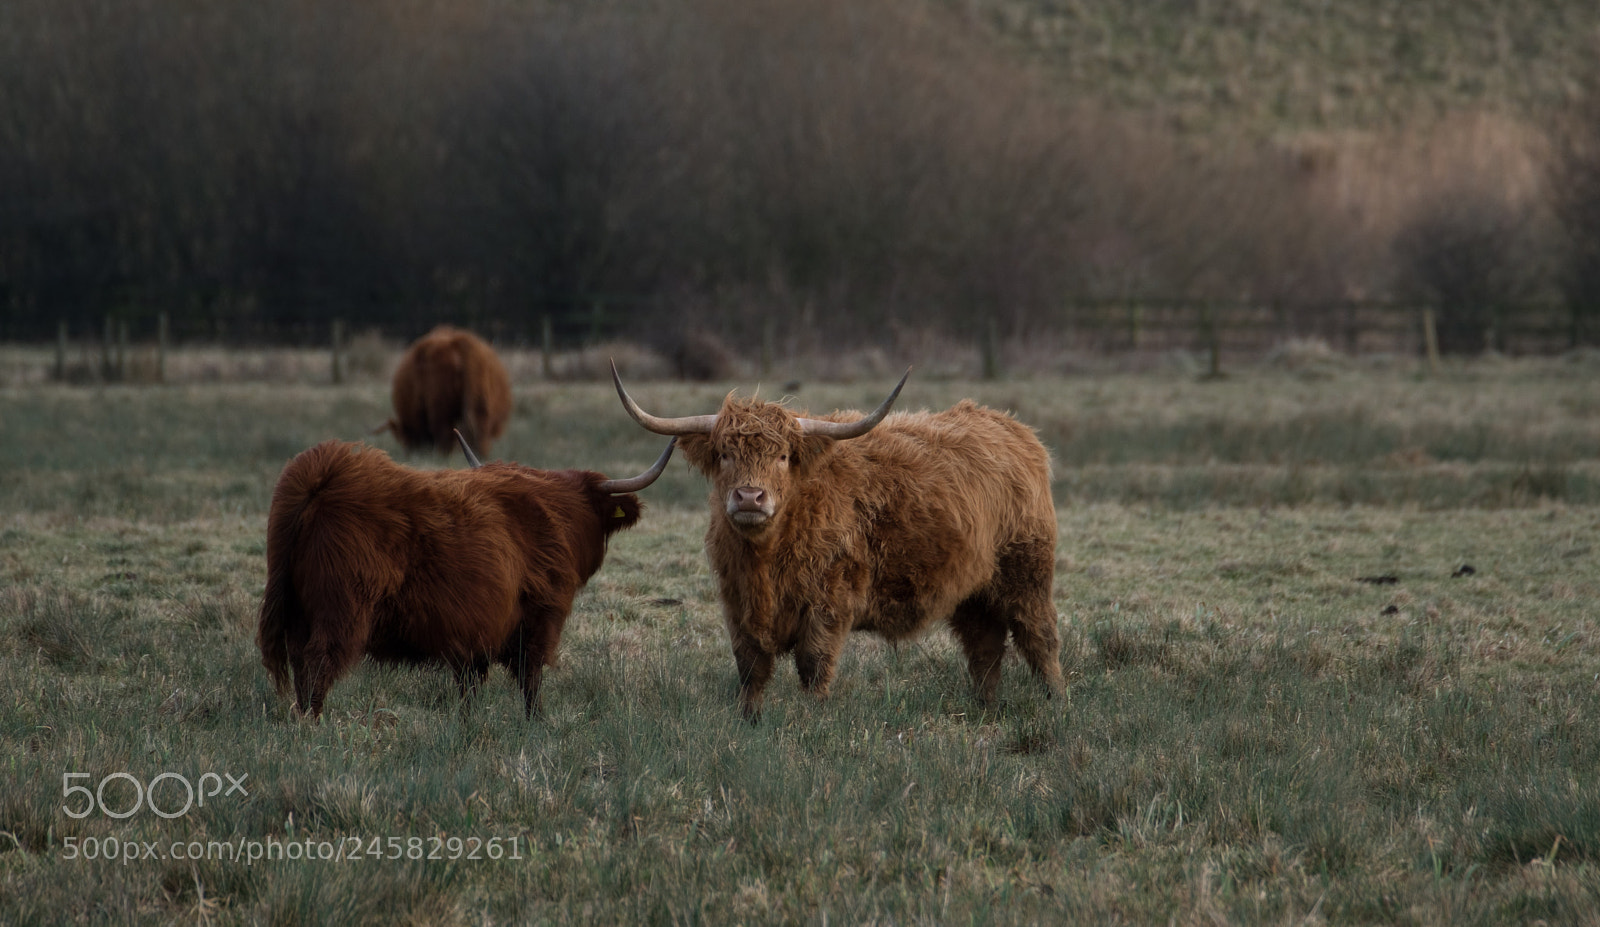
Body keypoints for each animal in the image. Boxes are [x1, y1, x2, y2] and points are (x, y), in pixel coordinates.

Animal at [256, 431, 676, 719]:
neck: (555, 514)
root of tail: (324, 474)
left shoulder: (471, 637)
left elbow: (471, 689)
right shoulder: (539, 618)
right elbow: (531, 681)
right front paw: (537, 724)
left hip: (296, 610)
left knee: (299, 664)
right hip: (340, 612)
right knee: (317, 665)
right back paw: (315, 726)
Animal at [379, 325, 512, 457]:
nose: (410, 453)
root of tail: (458, 341)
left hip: (441, 410)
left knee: (445, 438)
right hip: (480, 408)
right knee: (480, 433)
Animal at [611, 362, 1064, 720]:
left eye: (783, 457)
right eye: (724, 454)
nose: (750, 497)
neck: (766, 560)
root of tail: (1014, 429)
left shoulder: (828, 603)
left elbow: (814, 667)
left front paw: (813, 720)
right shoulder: (737, 606)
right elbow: (751, 669)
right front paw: (749, 720)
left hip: (1027, 574)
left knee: (1038, 637)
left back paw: (1057, 702)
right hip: (973, 590)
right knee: (984, 648)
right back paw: (986, 708)